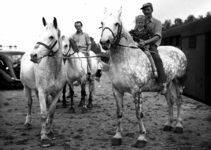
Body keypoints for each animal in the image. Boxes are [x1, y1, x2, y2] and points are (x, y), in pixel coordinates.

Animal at [20, 17, 66, 146]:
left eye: (51, 36)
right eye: (39, 35)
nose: (34, 55)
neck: (54, 70)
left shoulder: (57, 93)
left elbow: (51, 112)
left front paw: (49, 132)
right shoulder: (41, 92)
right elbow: (44, 114)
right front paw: (44, 137)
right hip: (26, 87)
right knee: (29, 103)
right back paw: (28, 122)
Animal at [99, 7, 187, 148]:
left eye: (116, 23)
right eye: (102, 23)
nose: (104, 42)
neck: (125, 59)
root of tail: (179, 51)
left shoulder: (137, 91)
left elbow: (138, 114)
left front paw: (141, 138)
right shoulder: (117, 91)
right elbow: (119, 113)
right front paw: (117, 136)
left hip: (178, 82)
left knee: (179, 101)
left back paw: (178, 126)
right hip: (167, 85)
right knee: (170, 101)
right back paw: (168, 124)